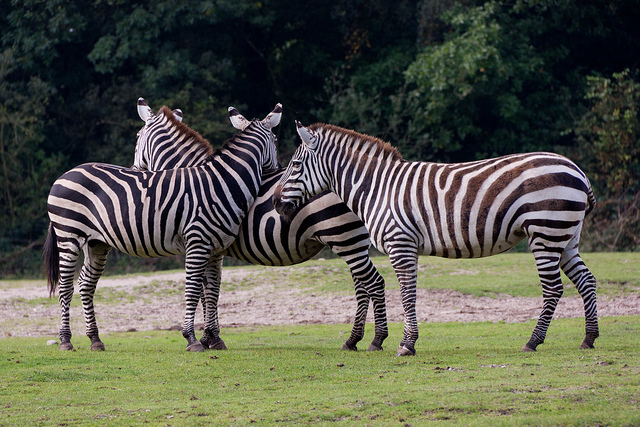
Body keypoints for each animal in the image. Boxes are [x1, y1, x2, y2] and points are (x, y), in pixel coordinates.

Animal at [43, 104, 282, 352]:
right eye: (276, 140)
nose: (279, 170)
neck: (222, 181)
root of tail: (66, 173)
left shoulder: (215, 248)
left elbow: (212, 291)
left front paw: (212, 338)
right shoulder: (198, 243)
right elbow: (195, 290)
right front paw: (194, 339)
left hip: (96, 242)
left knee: (86, 284)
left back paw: (95, 339)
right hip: (68, 234)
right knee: (65, 286)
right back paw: (65, 340)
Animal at [132, 98, 389, 351]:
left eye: (136, 137)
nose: (135, 169)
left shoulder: (202, 243)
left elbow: (204, 292)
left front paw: (207, 338)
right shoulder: (213, 249)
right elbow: (211, 291)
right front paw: (211, 337)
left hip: (343, 236)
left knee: (371, 283)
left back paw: (375, 339)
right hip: (352, 240)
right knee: (362, 286)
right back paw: (353, 339)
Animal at [273, 122, 598, 356]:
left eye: (295, 165)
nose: (275, 203)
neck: (378, 187)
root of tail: (577, 169)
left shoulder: (400, 244)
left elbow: (407, 295)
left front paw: (407, 345)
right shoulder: (406, 247)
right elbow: (408, 294)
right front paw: (400, 341)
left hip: (545, 231)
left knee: (553, 288)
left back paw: (533, 342)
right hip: (566, 236)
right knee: (586, 280)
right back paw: (589, 338)